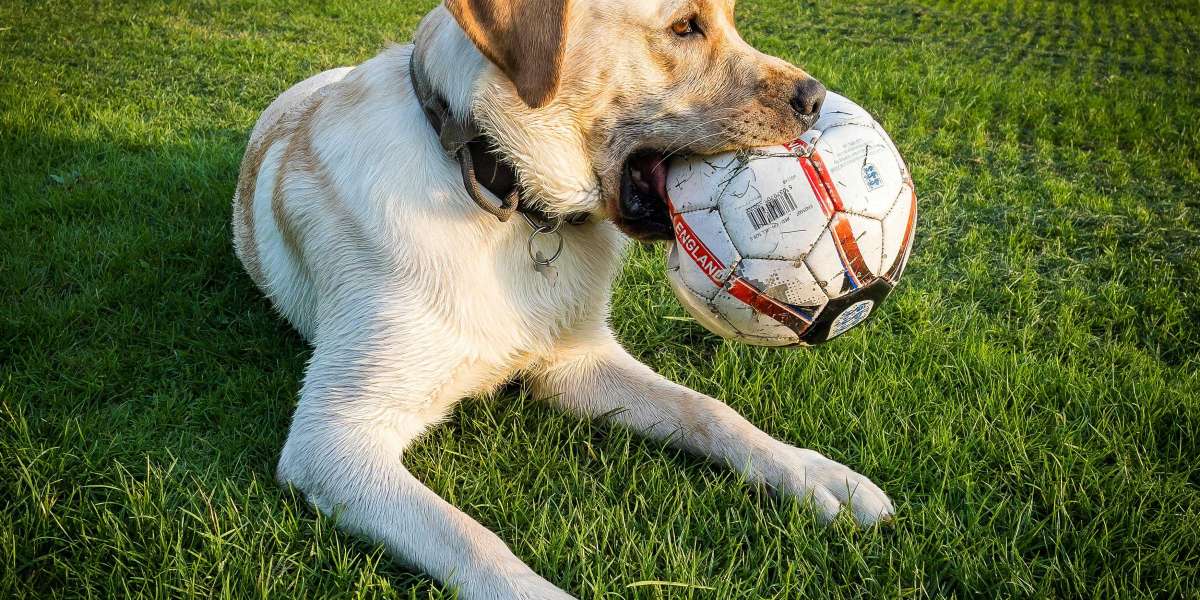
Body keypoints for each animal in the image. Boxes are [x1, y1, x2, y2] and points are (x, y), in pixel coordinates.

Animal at [231, 0, 892, 595]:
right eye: (685, 27)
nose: (816, 98)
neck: (496, 190)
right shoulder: (333, 437)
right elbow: (472, 541)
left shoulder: (576, 363)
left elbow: (707, 410)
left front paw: (813, 474)